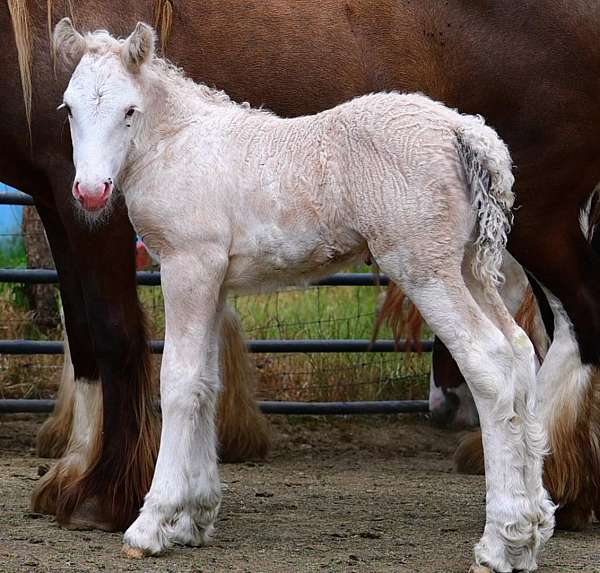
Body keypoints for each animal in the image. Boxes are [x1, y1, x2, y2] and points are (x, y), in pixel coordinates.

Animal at [3, 0, 600, 536]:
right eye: (68, 109)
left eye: (128, 110)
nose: (90, 191)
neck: (186, 143)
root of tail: (465, 132)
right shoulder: (215, 279)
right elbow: (207, 384)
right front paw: (194, 516)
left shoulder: (187, 266)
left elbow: (174, 378)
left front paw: (150, 520)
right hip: (470, 269)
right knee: (520, 353)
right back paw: (539, 512)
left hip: (440, 266)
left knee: (500, 359)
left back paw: (509, 532)